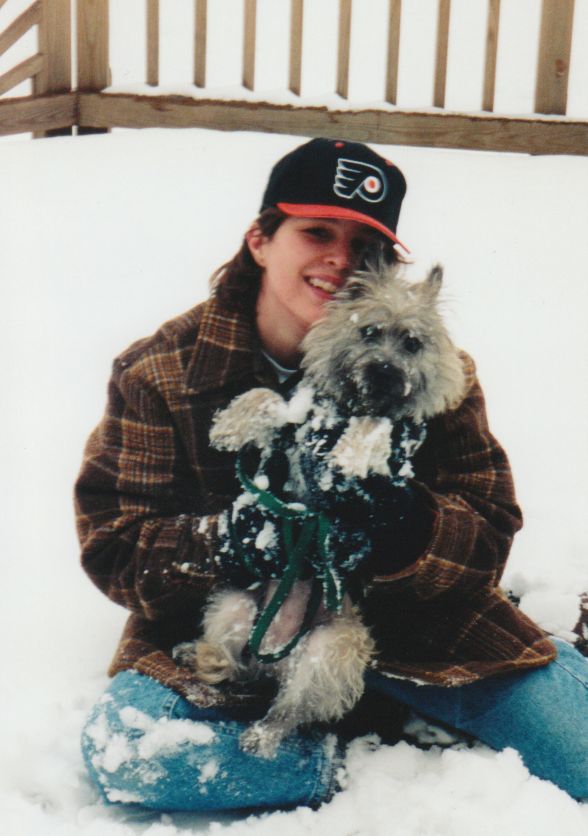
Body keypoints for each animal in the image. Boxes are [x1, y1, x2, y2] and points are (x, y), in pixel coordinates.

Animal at [174, 263, 466, 758]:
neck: (350, 404)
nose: (384, 371)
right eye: (369, 331)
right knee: (239, 668)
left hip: (332, 648)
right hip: (233, 608)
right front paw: (232, 423)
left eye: (412, 342)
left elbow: (378, 427)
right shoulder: (299, 414)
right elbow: (269, 397)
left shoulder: (397, 436)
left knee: (289, 709)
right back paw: (201, 655)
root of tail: (276, 656)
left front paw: (351, 452)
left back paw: (262, 735)